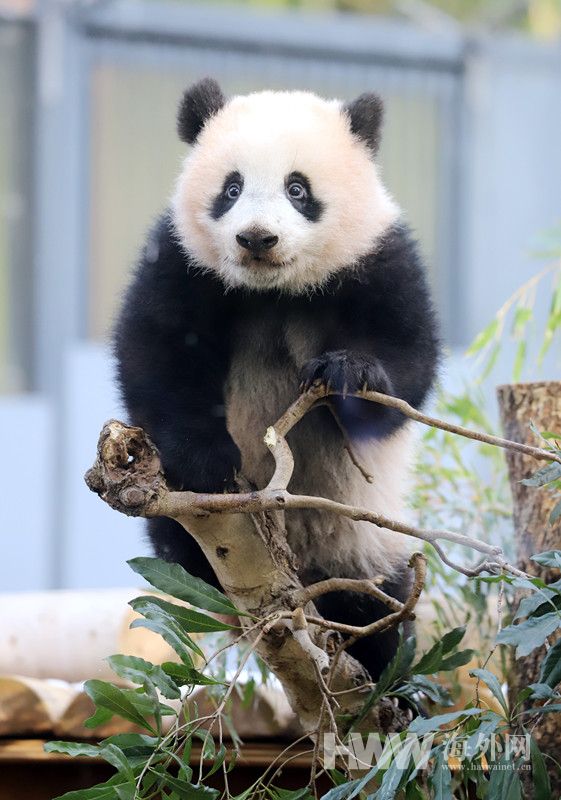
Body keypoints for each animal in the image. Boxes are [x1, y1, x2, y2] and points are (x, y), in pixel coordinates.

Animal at [115, 78, 438, 680]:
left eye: (297, 189)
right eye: (231, 187)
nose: (257, 239)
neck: (274, 290)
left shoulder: (378, 258)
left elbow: (407, 366)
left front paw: (349, 371)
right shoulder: (181, 260)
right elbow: (157, 355)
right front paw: (206, 459)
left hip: (363, 539)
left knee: (378, 605)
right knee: (178, 549)